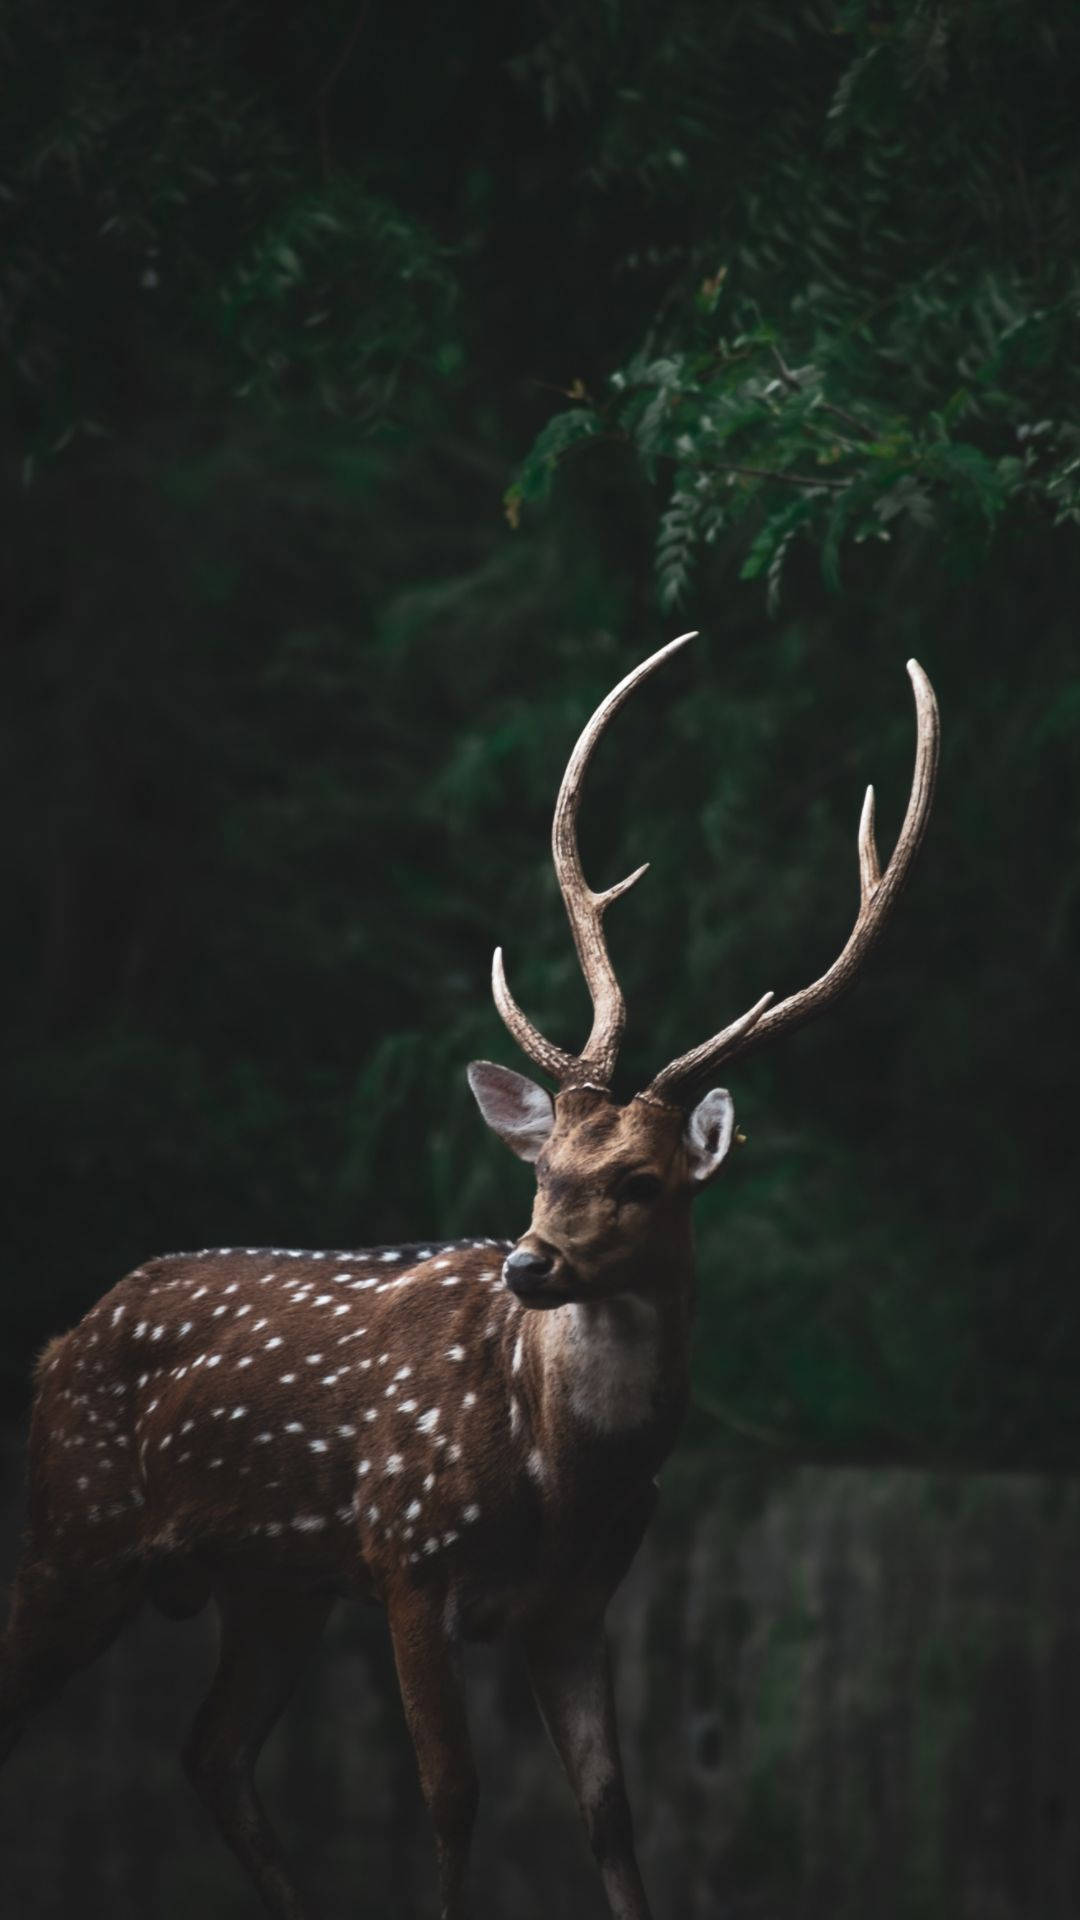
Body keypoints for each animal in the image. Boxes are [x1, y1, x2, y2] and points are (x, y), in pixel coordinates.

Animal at [1, 632, 938, 1920]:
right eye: (542, 1165)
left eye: (643, 1180)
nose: (530, 1264)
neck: (560, 1474)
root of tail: (60, 1342)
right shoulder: (408, 1552)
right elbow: (452, 1802)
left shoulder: (580, 1604)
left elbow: (613, 1818)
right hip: (77, 1524)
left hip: (269, 1581)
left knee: (212, 1750)